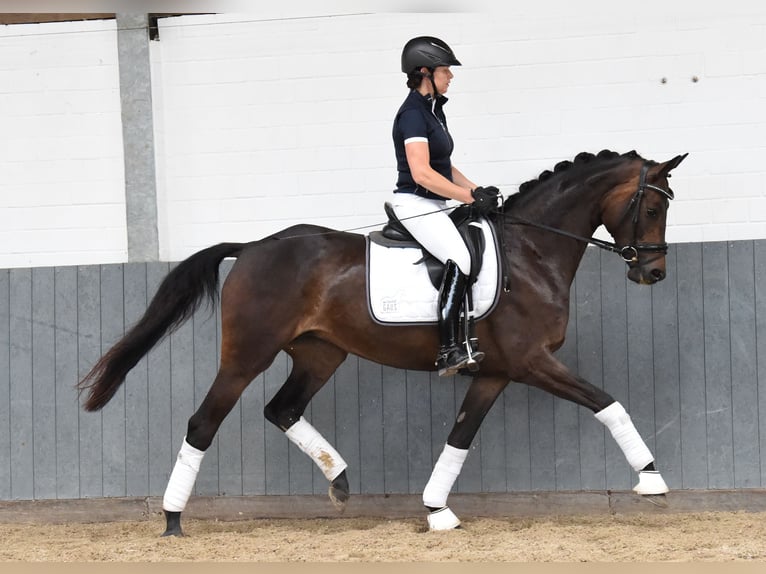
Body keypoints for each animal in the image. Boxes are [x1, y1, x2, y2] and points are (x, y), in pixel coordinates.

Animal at [79, 148, 688, 536]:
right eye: (654, 206)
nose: (653, 273)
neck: (532, 254)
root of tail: (252, 247)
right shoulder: (533, 362)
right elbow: (608, 403)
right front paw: (652, 480)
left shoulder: (495, 372)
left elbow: (459, 438)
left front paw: (437, 511)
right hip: (246, 355)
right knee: (203, 423)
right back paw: (172, 520)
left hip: (320, 353)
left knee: (282, 409)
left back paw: (341, 481)